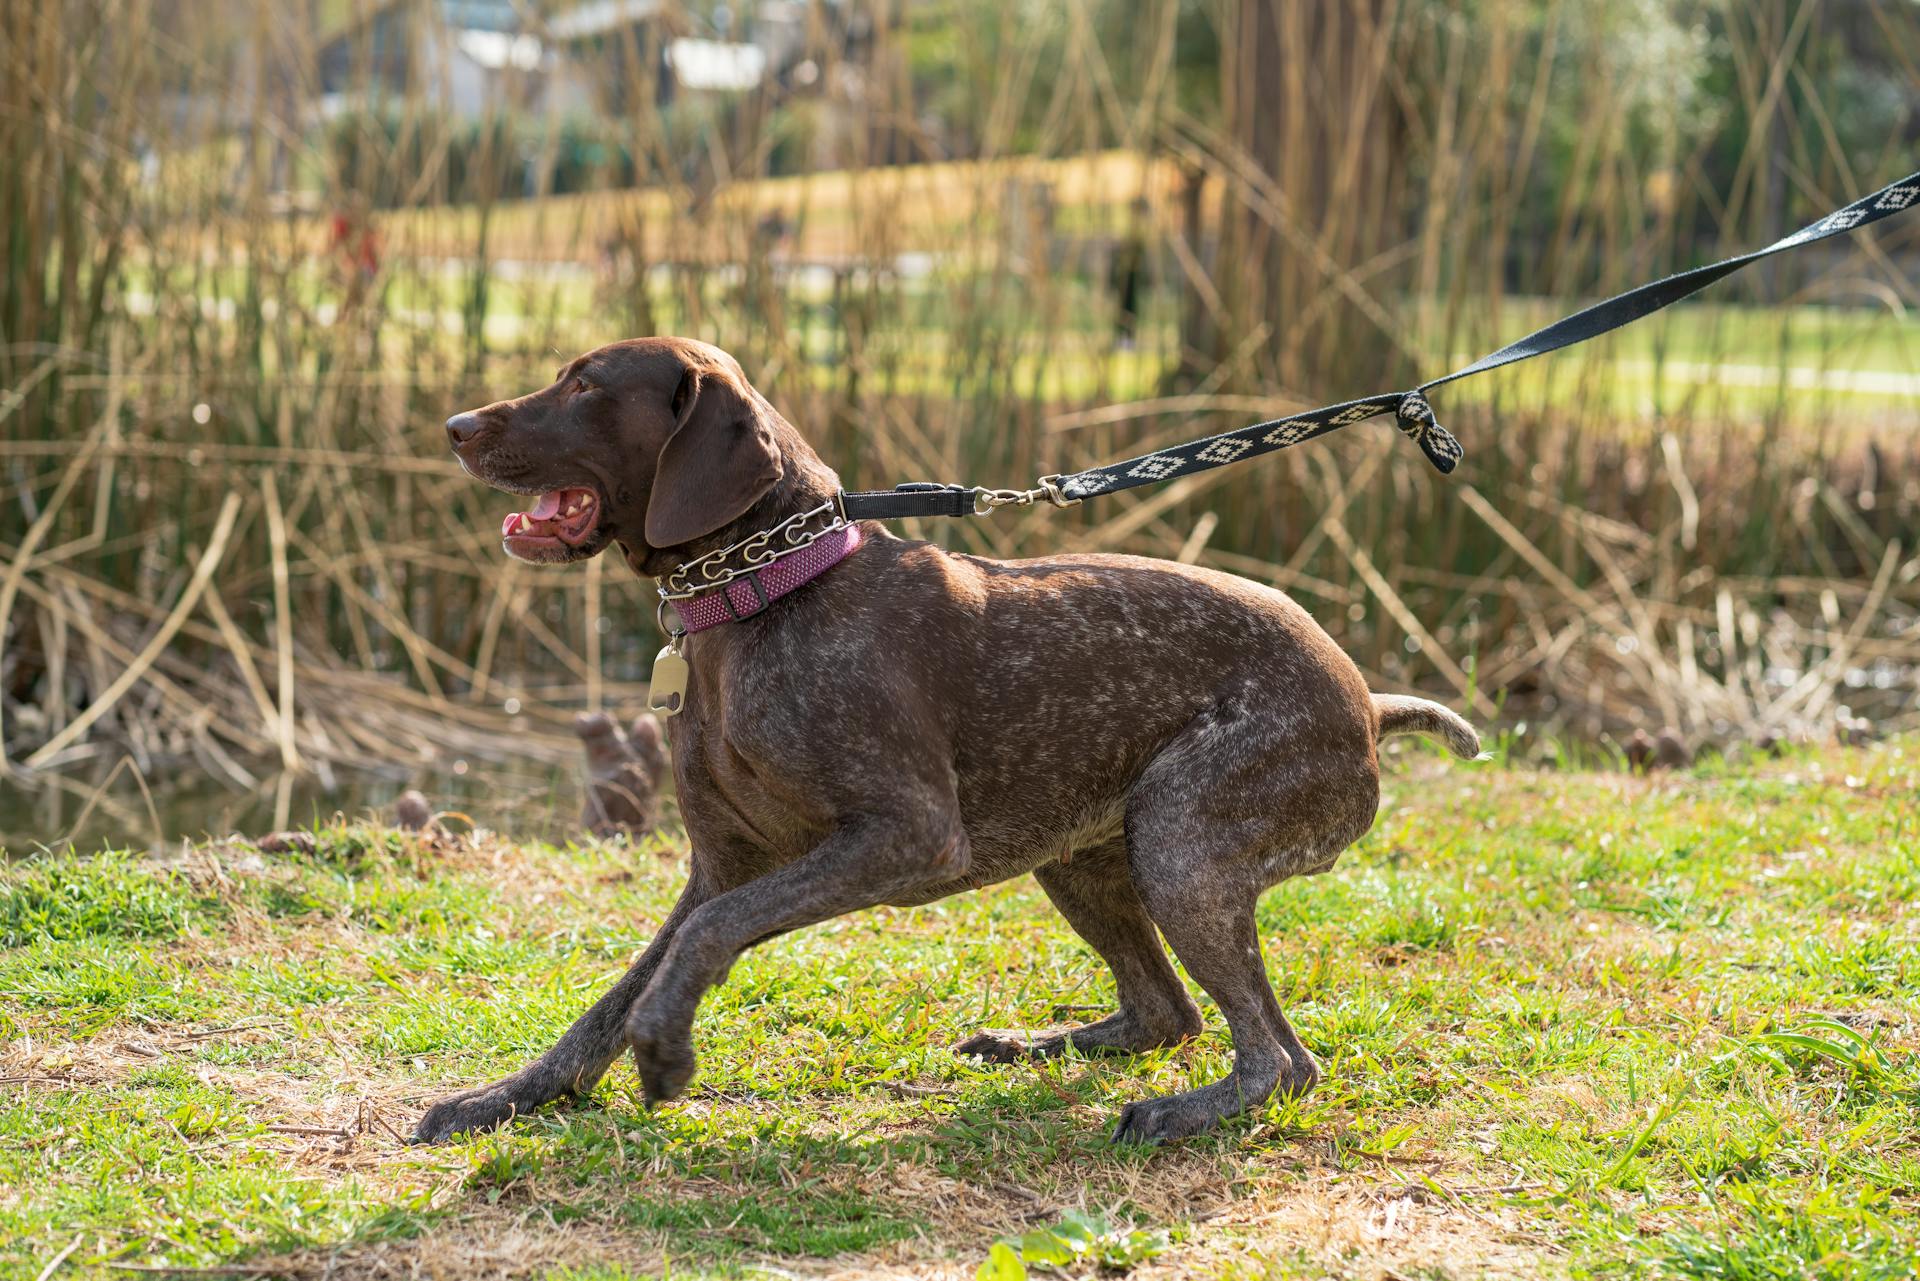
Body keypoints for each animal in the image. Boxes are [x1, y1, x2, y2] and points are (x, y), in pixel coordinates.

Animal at [412, 336, 1474, 1144]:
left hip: (1181, 841)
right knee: (1167, 1013)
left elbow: (698, 948)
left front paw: (667, 1051)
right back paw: (1038, 1045)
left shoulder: (906, 836)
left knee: (1279, 1060)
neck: (765, 589)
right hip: (1085, 855)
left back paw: (1181, 1113)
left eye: (587, 386)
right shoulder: (722, 862)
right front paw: (507, 1096)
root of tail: (1365, 703)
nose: (453, 426)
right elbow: (614, 997)